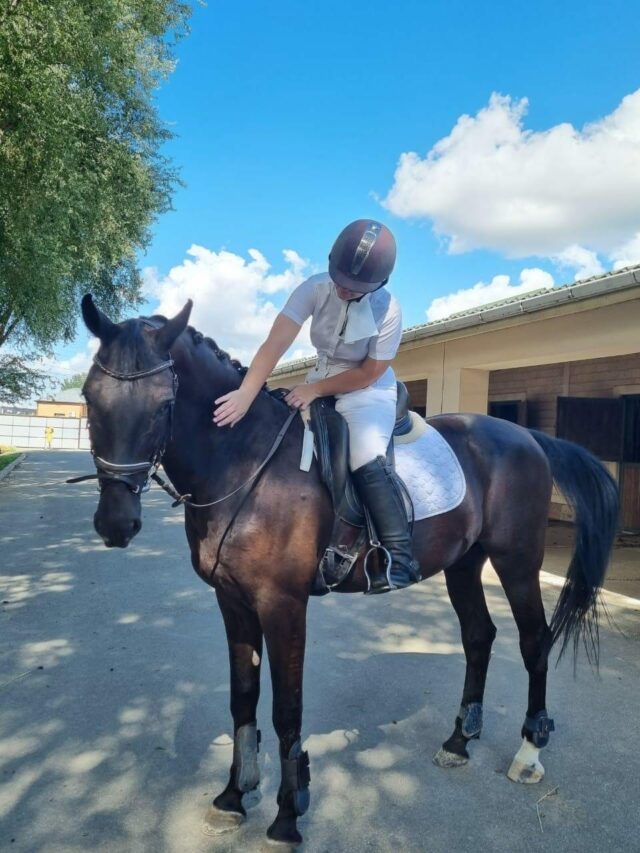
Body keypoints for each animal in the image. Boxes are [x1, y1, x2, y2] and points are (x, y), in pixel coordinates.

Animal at [78, 295, 618, 847]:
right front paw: (234, 796)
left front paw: (288, 815)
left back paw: (529, 752)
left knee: (534, 642)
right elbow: (243, 697)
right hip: (463, 563)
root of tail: (527, 436)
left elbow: (286, 710)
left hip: (517, 561)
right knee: (478, 636)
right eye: (88, 397)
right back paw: (459, 741)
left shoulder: (283, 604)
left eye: (165, 404)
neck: (244, 461)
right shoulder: (231, 600)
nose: (116, 523)